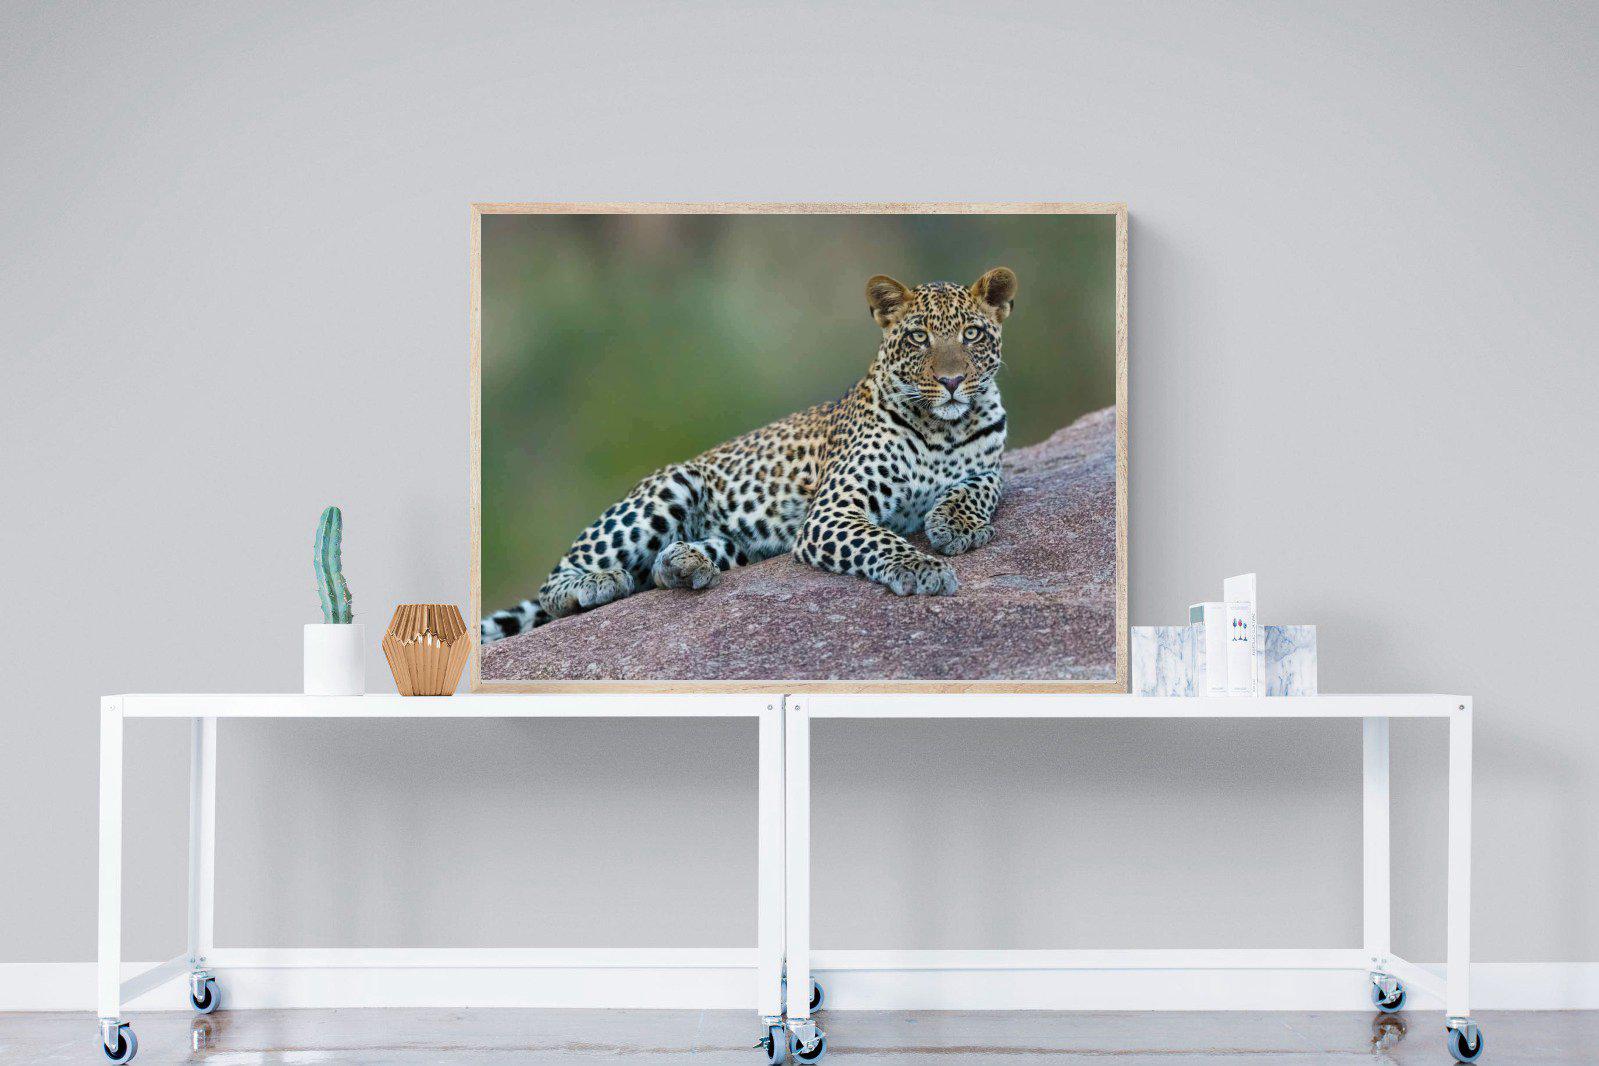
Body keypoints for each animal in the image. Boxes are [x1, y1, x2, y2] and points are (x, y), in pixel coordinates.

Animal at [480, 266, 1017, 644]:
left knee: (658, 570)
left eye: (971, 334)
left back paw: (685, 563)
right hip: (670, 487)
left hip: (741, 543)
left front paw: (956, 525)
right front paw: (924, 568)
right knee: (558, 581)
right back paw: (596, 583)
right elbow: (882, 540)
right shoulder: (832, 511)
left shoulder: (991, 466)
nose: (951, 381)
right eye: (918, 337)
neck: (944, 428)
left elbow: (979, 487)